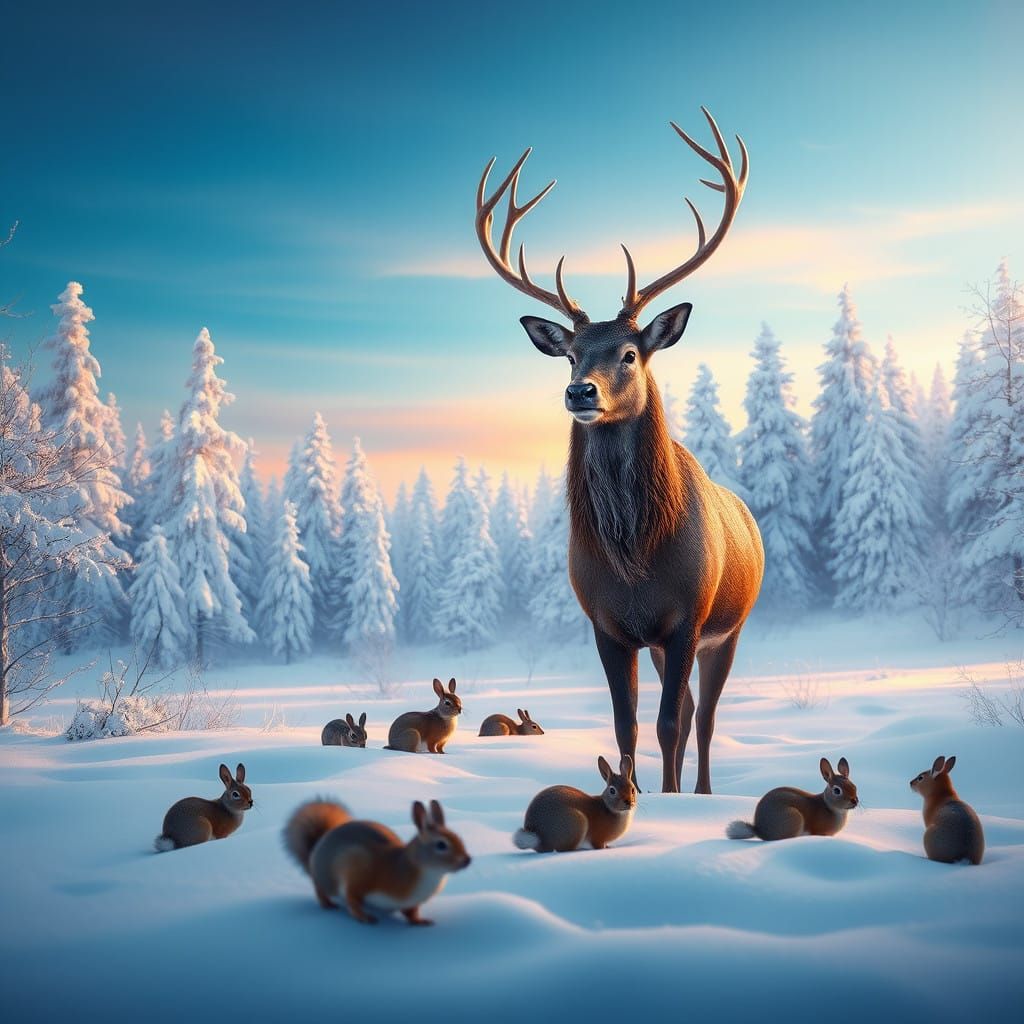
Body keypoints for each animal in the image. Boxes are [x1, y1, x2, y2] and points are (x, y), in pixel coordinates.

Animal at [474, 108, 764, 794]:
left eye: (629, 353)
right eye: (572, 354)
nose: (580, 391)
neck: (635, 561)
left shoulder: (688, 618)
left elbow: (668, 725)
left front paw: (671, 800)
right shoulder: (608, 626)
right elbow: (626, 725)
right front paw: (629, 794)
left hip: (731, 627)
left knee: (703, 717)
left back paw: (704, 790)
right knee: (688, 709)